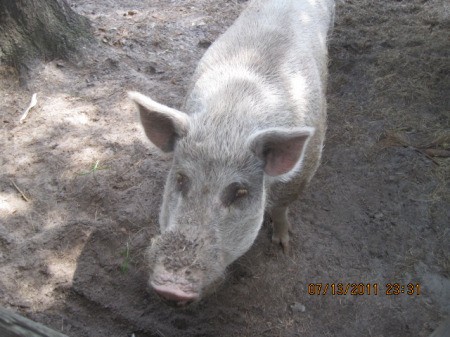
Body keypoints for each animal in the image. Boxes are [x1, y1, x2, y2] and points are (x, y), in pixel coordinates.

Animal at [129, 0, 334, 304]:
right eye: (180, 179)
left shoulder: (306, 168)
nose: (170, 286)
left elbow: (282, 206)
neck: (230, 119)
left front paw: (284, 246)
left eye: (239, 192)